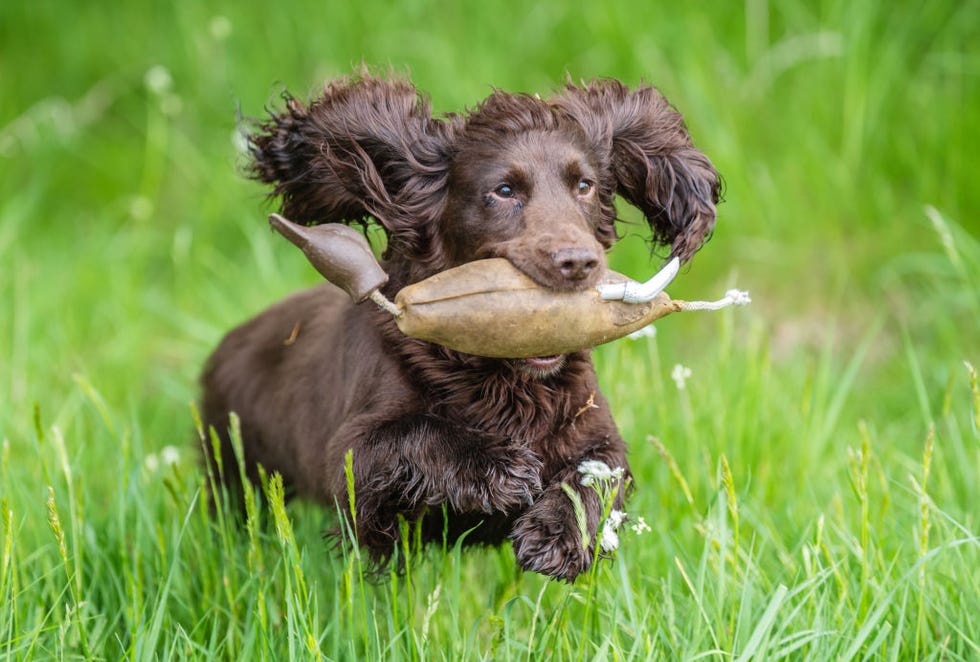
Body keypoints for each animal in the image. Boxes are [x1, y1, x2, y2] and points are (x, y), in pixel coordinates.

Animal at [201, 71, 720, 580]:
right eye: (504, 191)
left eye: (585, 185)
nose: (579, 262)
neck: (505, 380)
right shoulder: (350, 459)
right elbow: (409, 434)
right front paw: (496, 467)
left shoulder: (594, 427)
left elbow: (598, 473)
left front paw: (558, 535)